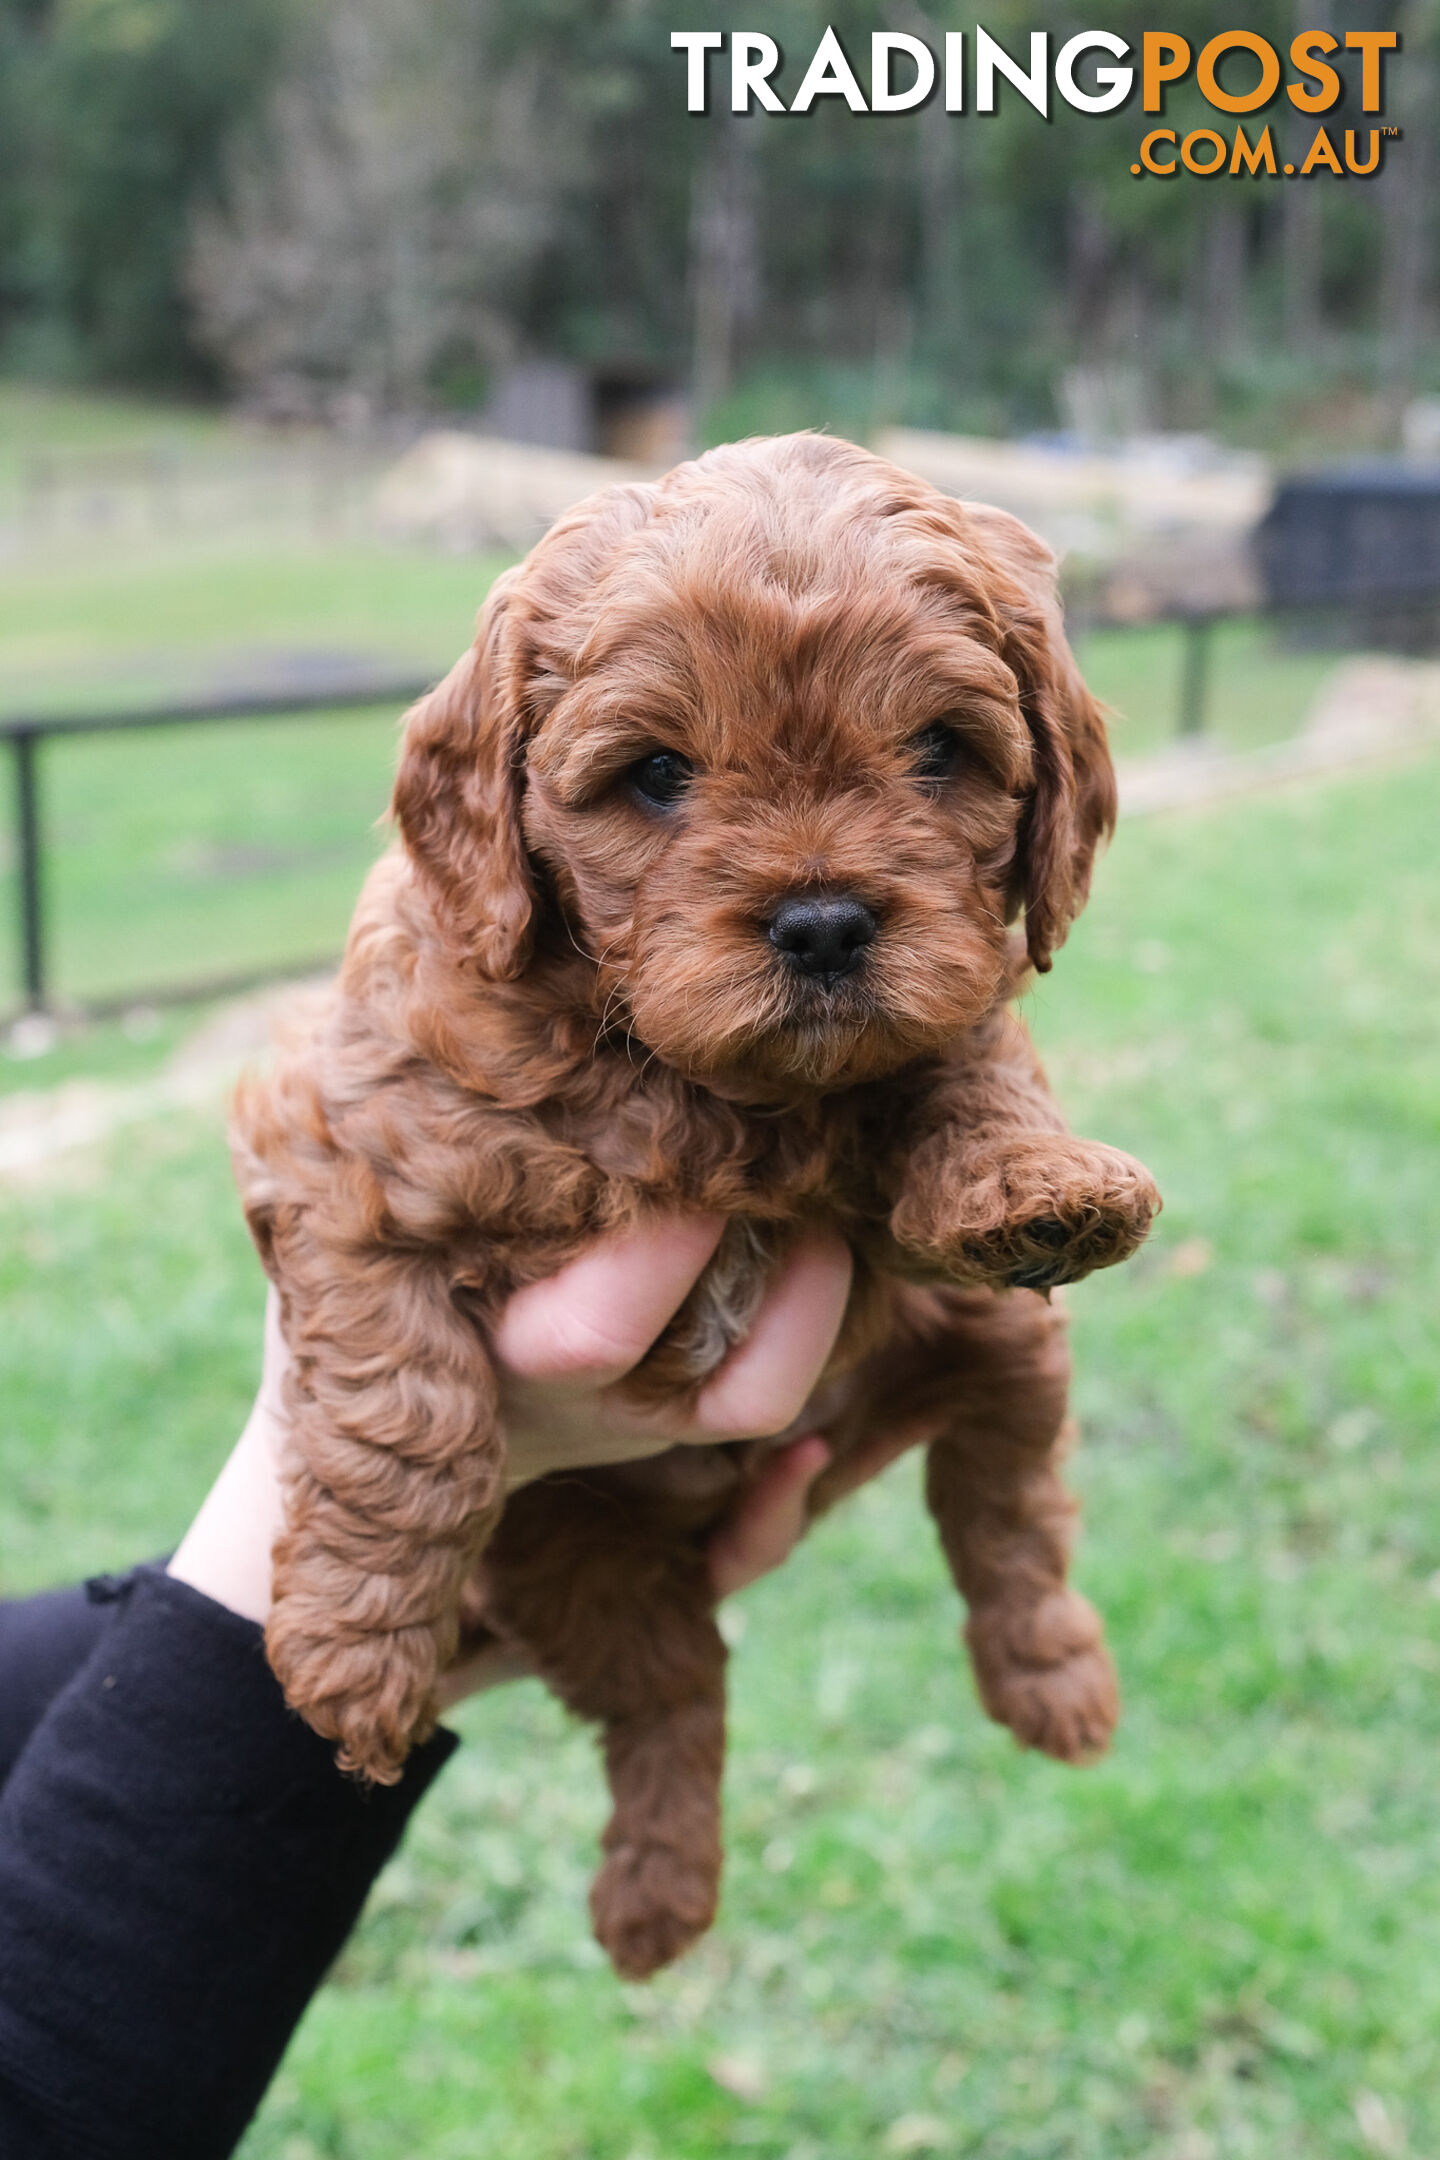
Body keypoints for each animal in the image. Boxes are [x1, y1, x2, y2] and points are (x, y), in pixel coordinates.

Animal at [234, 438, 1157, 1987]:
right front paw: (352, 1664)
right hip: (573, 1547)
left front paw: (1038, 1186)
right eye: (656, 775)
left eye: (940, 752)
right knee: (675, 1694)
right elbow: (403, 1415)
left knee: (1011, 1516)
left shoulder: (943, 1046)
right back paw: (654, 1902)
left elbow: (968, 1057)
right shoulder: (342, 1155)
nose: (827, 923)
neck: (692, 1084)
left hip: (996, 1353)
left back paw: (1058, 1683)